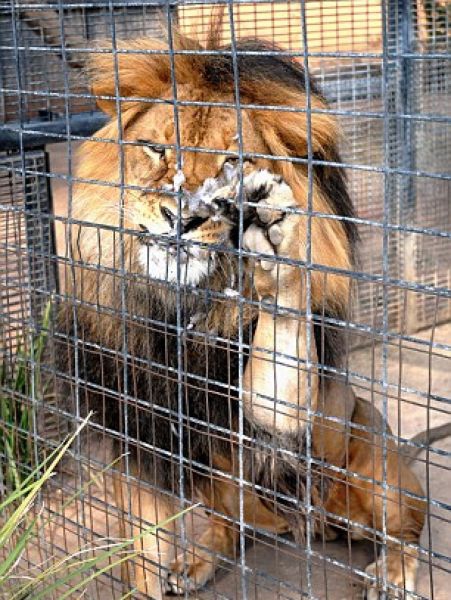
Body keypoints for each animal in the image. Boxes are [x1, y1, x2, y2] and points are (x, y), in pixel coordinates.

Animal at [52, 23, 448, 600]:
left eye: (231, 163)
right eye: (155, 148)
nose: (183, 218)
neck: (180, 307)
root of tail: (313, 527)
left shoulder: (277, 408)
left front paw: (276, 243)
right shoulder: (134, 431)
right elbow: (143, 548)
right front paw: (156, 573)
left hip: (373, 459)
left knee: (406, 530)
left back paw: (391, 573)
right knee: (235, 524)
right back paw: (197, 560)